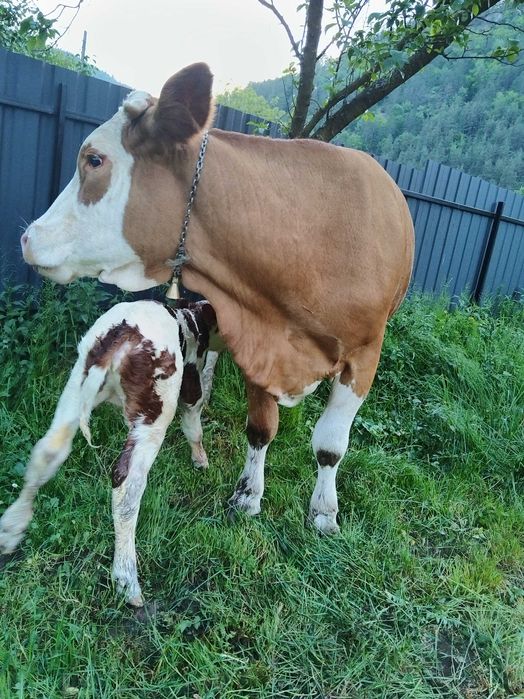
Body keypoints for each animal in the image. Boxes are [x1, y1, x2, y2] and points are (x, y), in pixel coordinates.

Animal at [0, 299, 216, 606]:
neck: (188, 317)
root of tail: (121, 333)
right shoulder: (191, 383)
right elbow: (193, 424)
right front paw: (201, 460)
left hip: (75, 386)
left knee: (47, 452)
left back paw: (11, 528)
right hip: (155, 413)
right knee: (127, 487)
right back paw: (128, 582)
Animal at [20, 63, 414, 535]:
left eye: (94, 159)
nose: (28, 237)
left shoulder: (365, 354)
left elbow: (330, 445)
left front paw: (323, 512)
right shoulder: (257, 337)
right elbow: (261, 428)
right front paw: (248, 494)